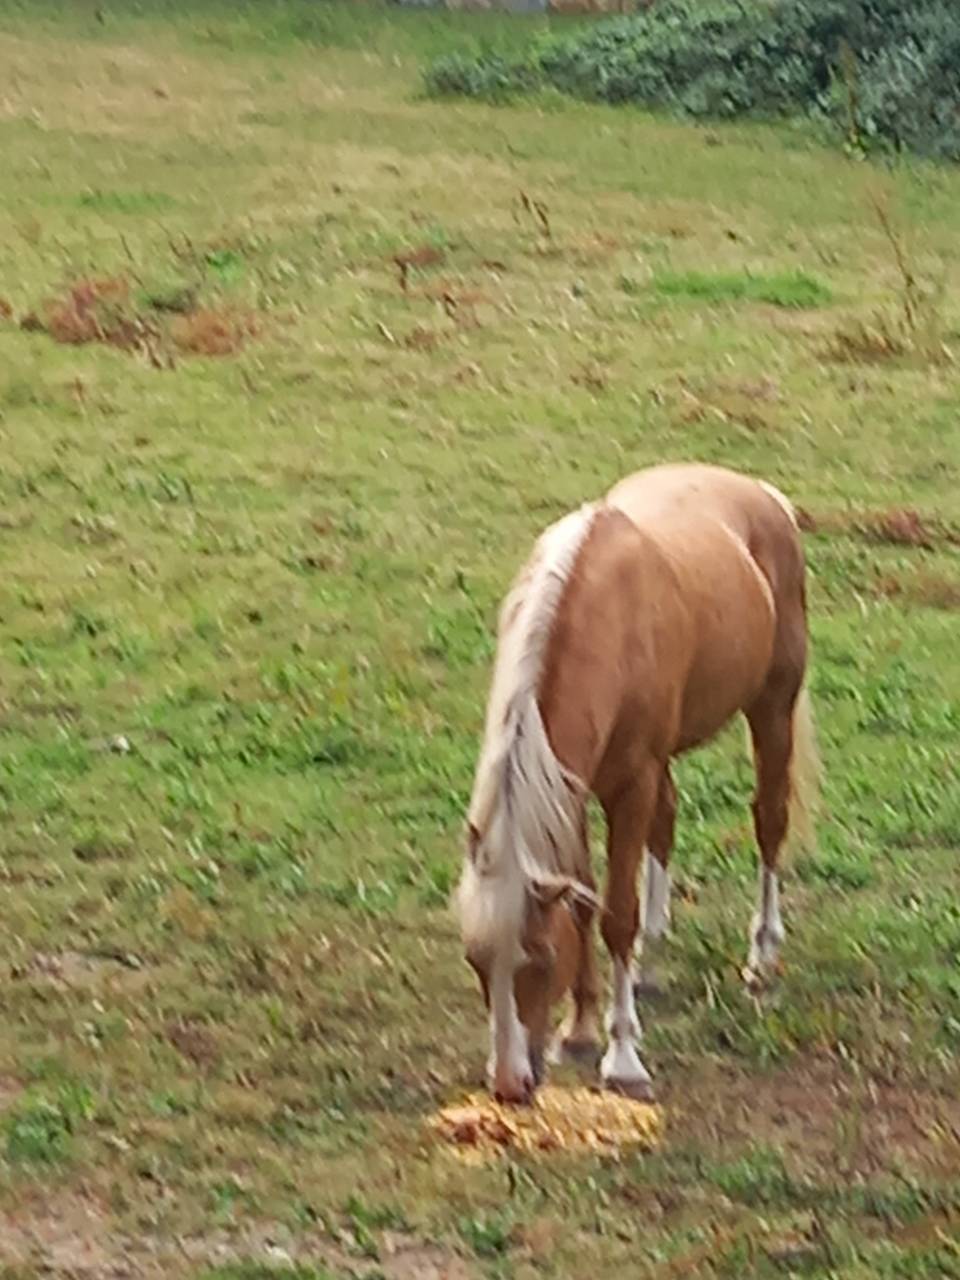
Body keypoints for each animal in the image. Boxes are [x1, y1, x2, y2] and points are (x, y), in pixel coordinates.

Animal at [457, 462, 818, 1104]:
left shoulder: (630, 787)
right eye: (476, 961)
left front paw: (622, 1055)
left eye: (538, 960)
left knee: (768, 822)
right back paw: (651, 963)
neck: (606, 619)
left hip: (772, 709)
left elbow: (616, 915)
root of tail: (762, 494)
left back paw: (761, 956)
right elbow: (582, 900)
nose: (508, 1086)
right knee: (667, 824)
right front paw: (578, 1030)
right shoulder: (571, 792)